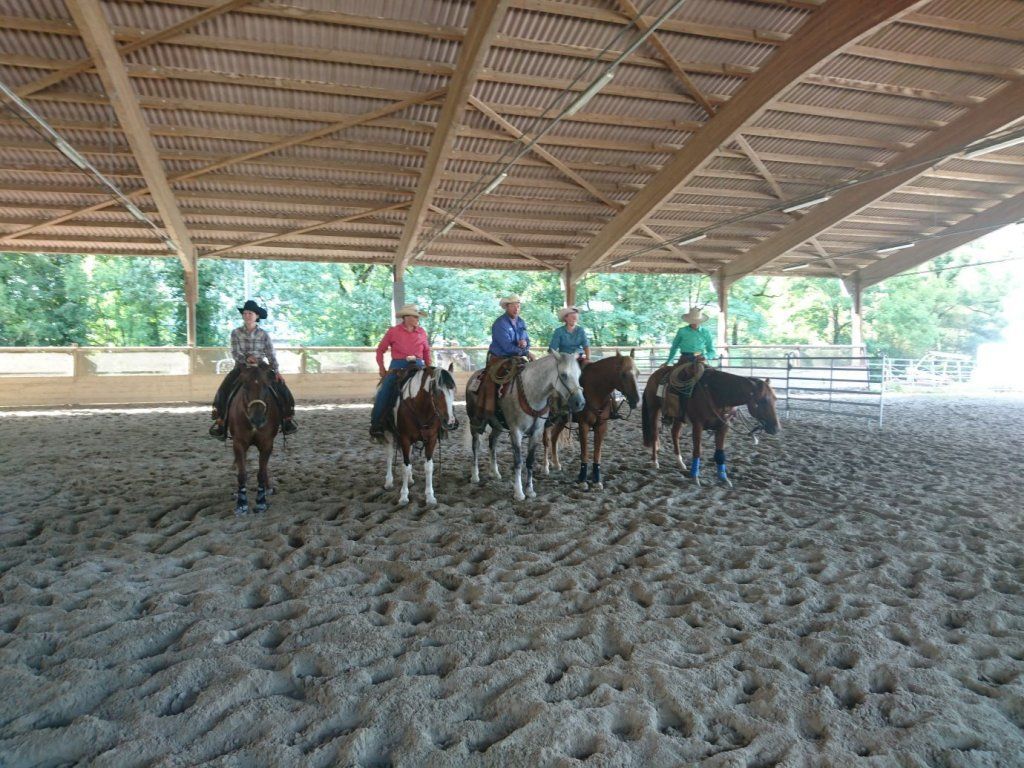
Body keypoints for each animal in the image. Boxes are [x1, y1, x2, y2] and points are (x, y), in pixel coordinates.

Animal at [226, 362, 283, 515]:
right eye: (245, 386)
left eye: (266, 386)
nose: (257, 419)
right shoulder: (238, 443)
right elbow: (242, 474)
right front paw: (241, 504)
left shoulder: (267, 444)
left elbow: (261, 473)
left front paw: (261, 502)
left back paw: (268, 488)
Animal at [382, 364, 459, 506]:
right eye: (437, 391)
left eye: (453, 390)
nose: (451, 422)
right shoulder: (405, 438)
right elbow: (405, 466)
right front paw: (403, 496)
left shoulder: (431, 439)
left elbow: (428, 467)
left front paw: (430, 497)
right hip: (388, 432)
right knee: (390, 455)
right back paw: (389, 482)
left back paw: (410, 479)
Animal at [465, 352, 585, 501]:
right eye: (563, 375)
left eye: (579, 374)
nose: (580, 403)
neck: (532, 393)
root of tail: (474, 376)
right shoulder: (516, 432)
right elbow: (518, 462)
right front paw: (519, 492)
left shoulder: (537, 432)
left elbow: (530, 461)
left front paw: (530, 490)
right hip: (475, 421)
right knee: (475, 445)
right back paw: (475, 476)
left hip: (498, 425)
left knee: (492, 441)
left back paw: (495, 472)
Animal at [542, 351, 641, 490]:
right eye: (623, 374)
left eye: (638, 373)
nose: (636, 400)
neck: (595, 390)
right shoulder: (583, 425)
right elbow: (585, 453)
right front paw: (583, 480)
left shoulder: (601, 426)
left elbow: (597, 454)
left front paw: (597, 480)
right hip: (548, 419)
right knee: (546, 438)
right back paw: (546, 467)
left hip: (562, 419)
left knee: (554, 436)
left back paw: (556, 464)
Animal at [641, 364, 780, 487]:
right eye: (762, 400)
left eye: (775, 399)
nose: (776, 428)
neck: (718, 393)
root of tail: (654, 375)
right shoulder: (698, 425)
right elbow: (697, 451)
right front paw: (695, 477)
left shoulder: (723, 427)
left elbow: (720, 452)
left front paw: (723, 478)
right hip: (654, 410)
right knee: (654, 435)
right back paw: (655, 462)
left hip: (678, 417)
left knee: (674, 434)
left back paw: (680, 462)